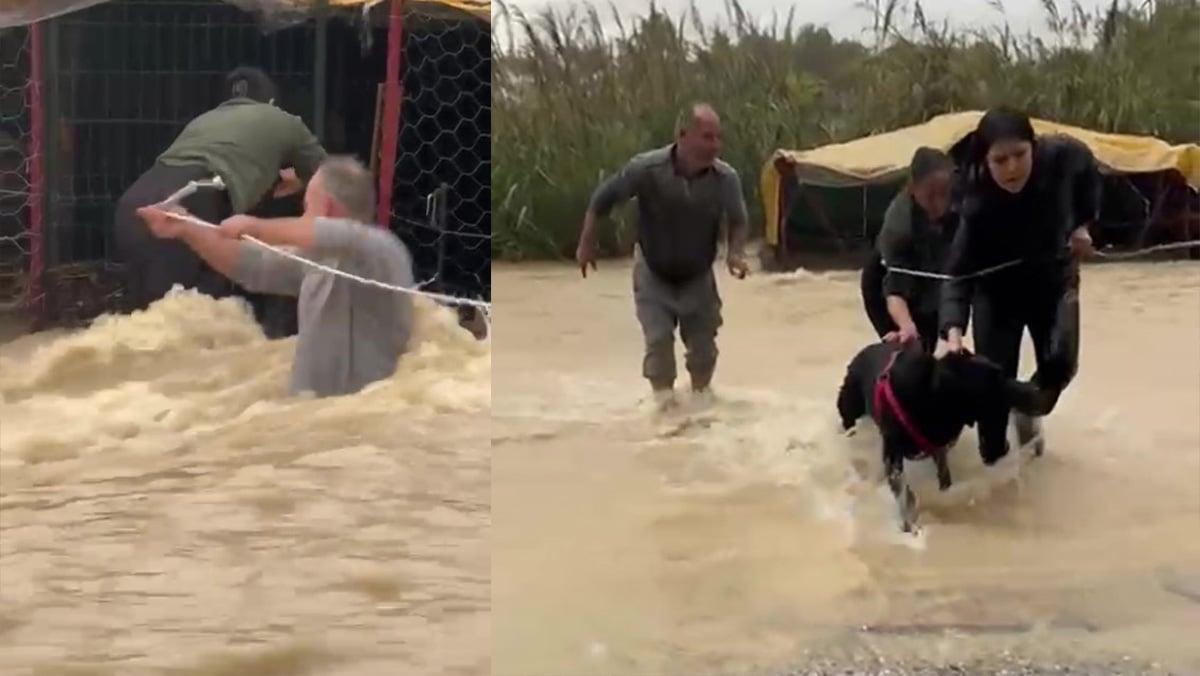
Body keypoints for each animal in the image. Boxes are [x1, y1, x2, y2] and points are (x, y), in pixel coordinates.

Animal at [835, 343, 1041, 535]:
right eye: (997, 379)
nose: (1035, 390)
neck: (932, 398)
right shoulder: (894, 458)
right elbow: (902, 497)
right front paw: (909, 526)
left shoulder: (938, 450)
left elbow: (944, 479)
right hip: (849, 414)